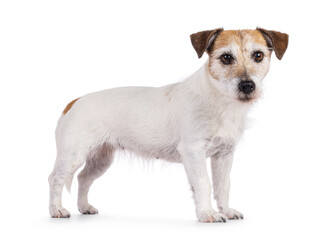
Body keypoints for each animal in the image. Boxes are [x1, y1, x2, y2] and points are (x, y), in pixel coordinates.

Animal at [49, 27, 288, 222]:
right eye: (226, 58)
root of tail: (74, 101)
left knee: (83, 178)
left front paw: (227, 211)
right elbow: (204, 183)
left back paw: (84, 207)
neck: (219, 100)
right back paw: (56, 210)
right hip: (73, 155)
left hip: (101, 159)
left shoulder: (224, 155)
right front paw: (207, 214)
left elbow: (223, 185)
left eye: (258, 55)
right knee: (55, 178)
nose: (247, 86)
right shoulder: (193, 151)